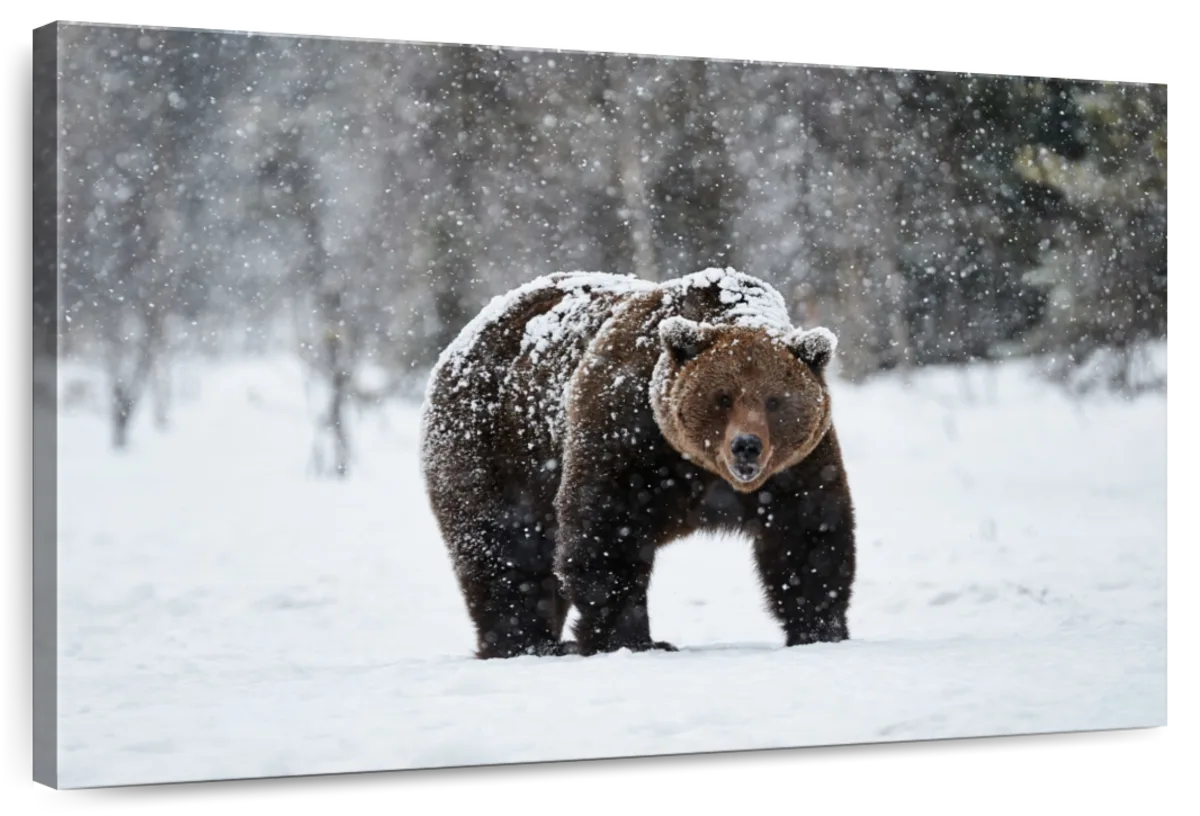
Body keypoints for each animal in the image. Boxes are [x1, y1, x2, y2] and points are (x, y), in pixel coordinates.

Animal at [420, 267, 855, 659]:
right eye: (723, 396)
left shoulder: (797, 467)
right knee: (507, 551)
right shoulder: (625, 432)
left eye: (774, 400)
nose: (746, 446)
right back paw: (529, 643)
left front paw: (821, 630)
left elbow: (809, 537)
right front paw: (631, 639)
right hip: (495, 445)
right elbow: (606, 535)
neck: (699, 468)